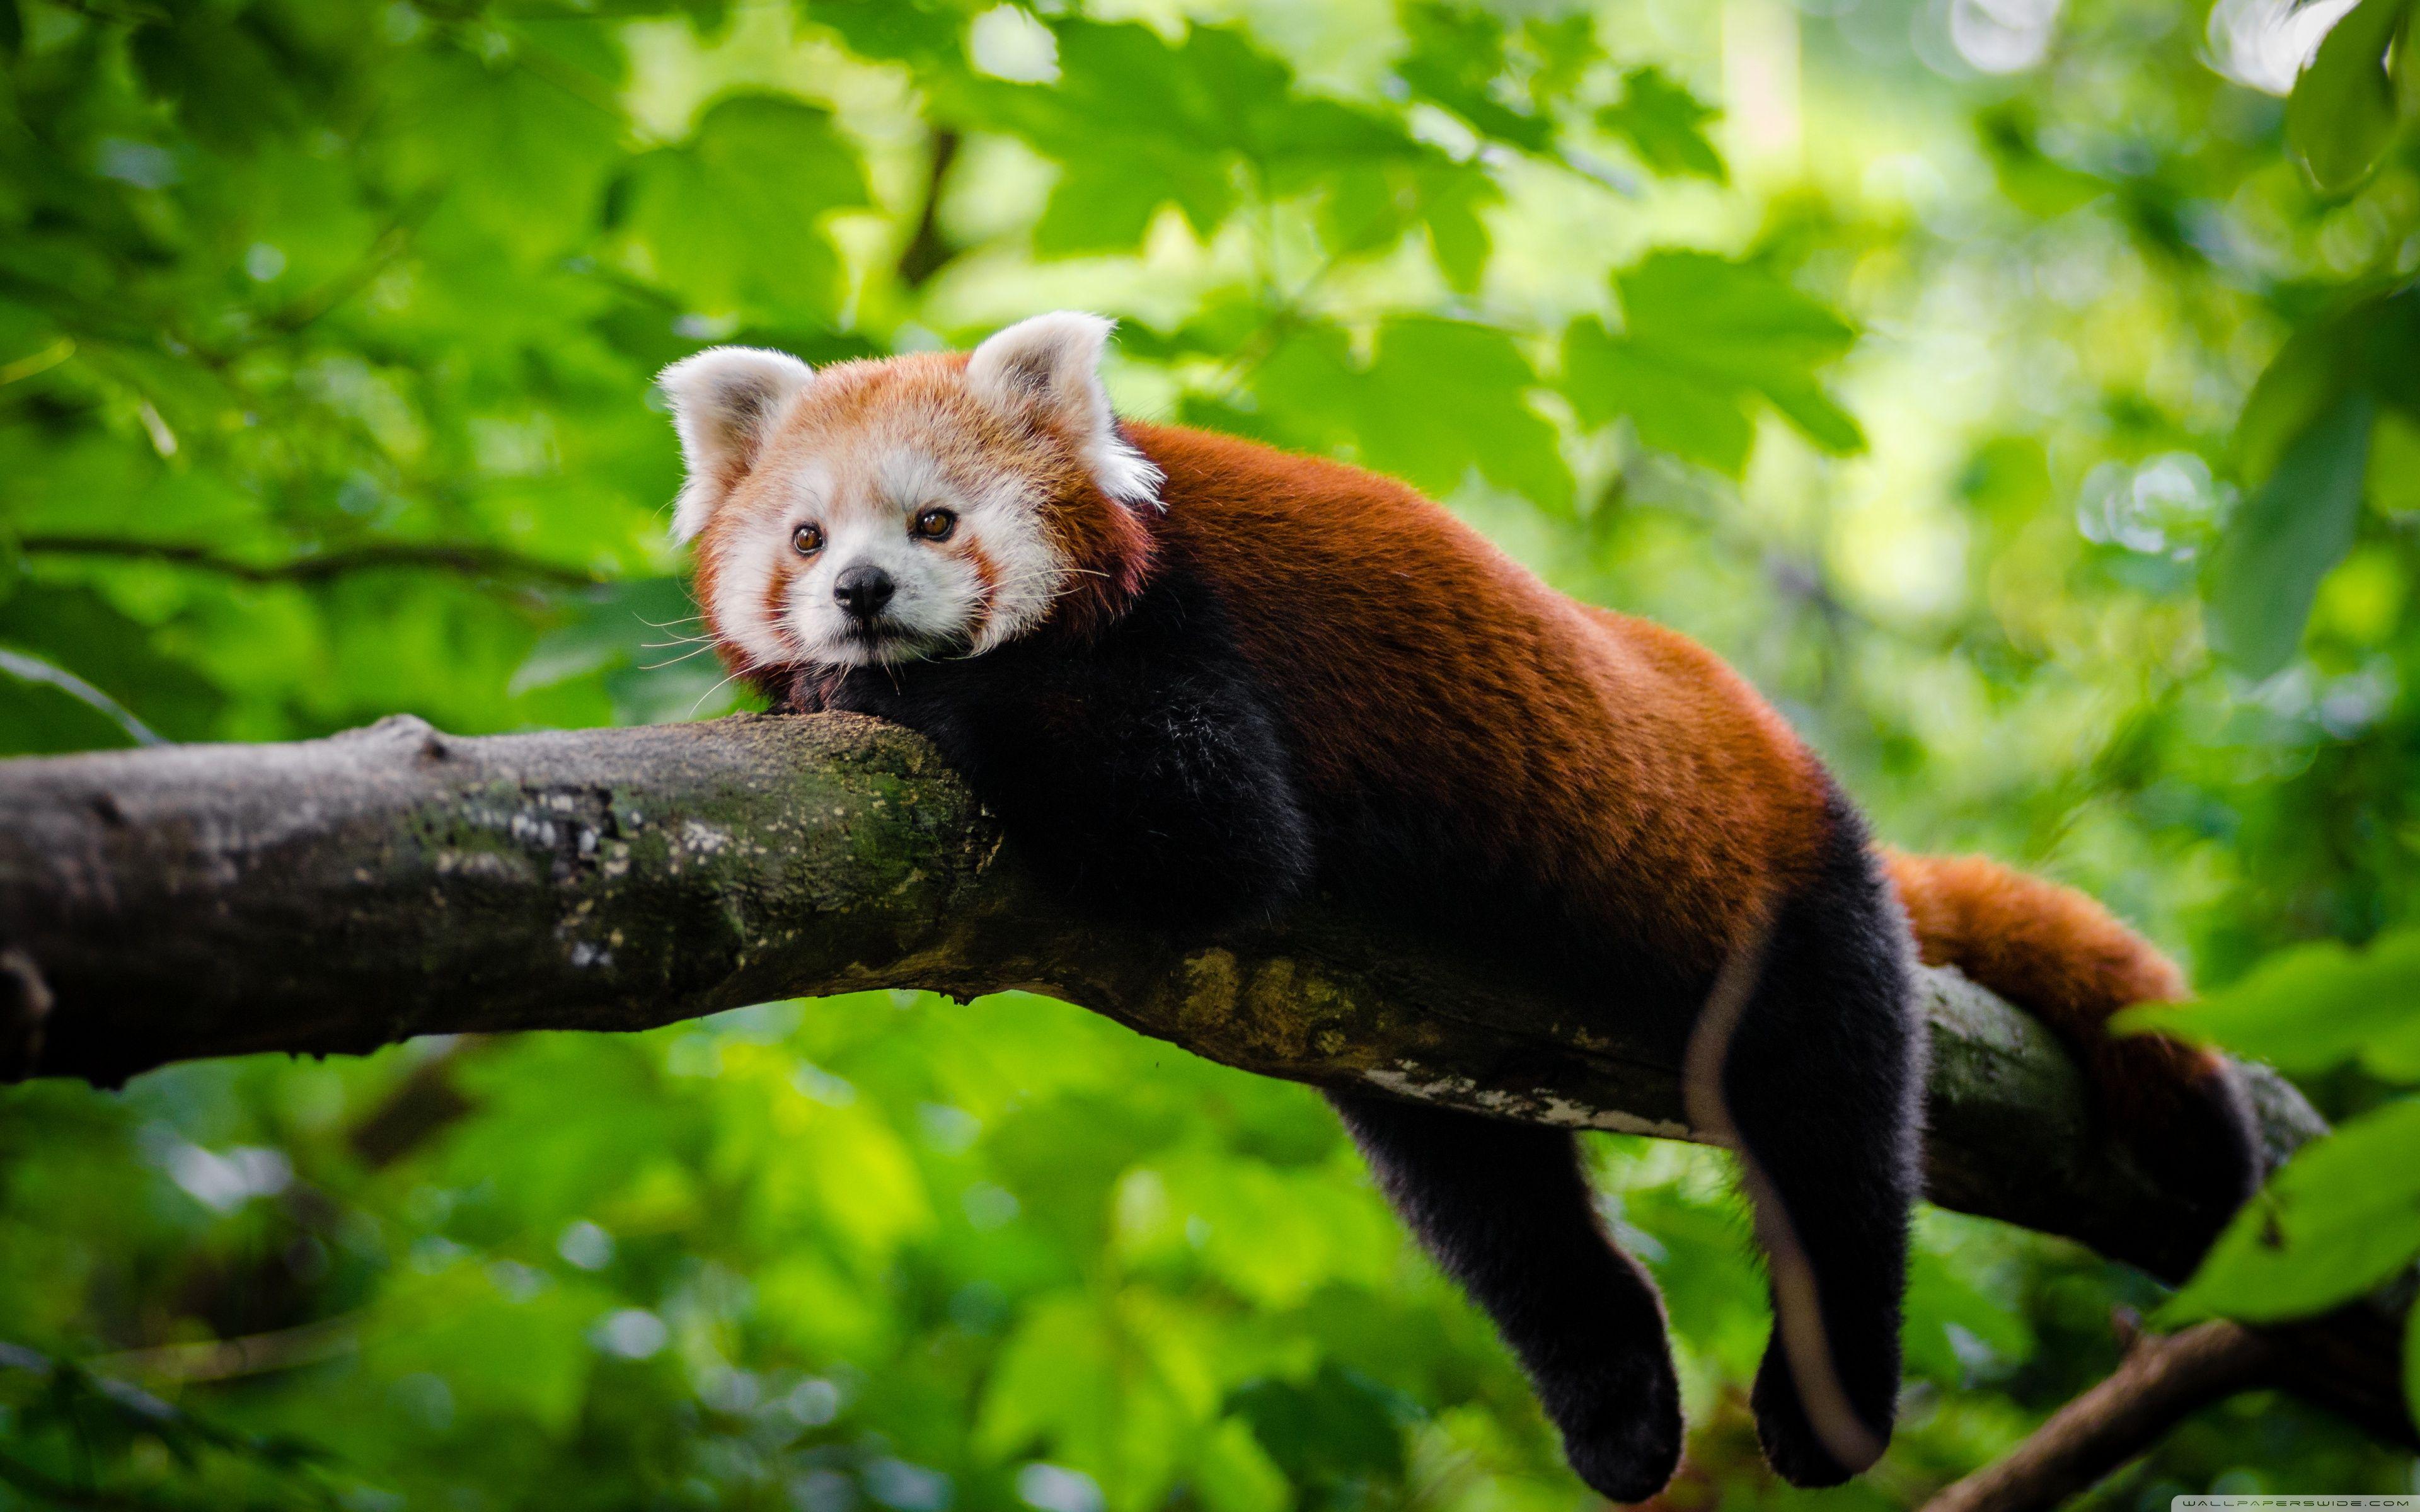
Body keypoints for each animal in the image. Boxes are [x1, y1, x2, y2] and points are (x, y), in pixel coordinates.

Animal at [658, 309, 2245, 1499]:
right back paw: (1616, 1401)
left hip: (1792, 910)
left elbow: (1212, 832)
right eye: (804, 539)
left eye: (934, 520)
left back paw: (1824, 1390)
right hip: (1413, 1035)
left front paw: (887, 693)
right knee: (1488, 1202)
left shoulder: (1189, 640)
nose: (862, 595)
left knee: (1833, 1134)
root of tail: (1798, 768)